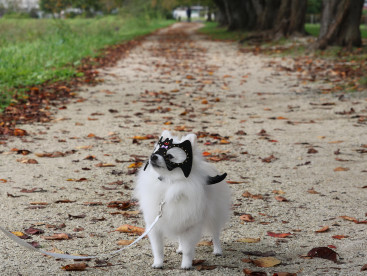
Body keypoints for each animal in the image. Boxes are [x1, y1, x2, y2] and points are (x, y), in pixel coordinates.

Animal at [137, 132, 231, 270]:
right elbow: (158, 248)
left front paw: (186, 264)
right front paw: (158, 263)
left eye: (169, 156)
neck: (170, 182)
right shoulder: (155, 226)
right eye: (155, 151)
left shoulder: (191, 225)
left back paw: (217, 250)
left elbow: (188, 249)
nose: (153, 156)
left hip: (214, 215)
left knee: (215, 234)